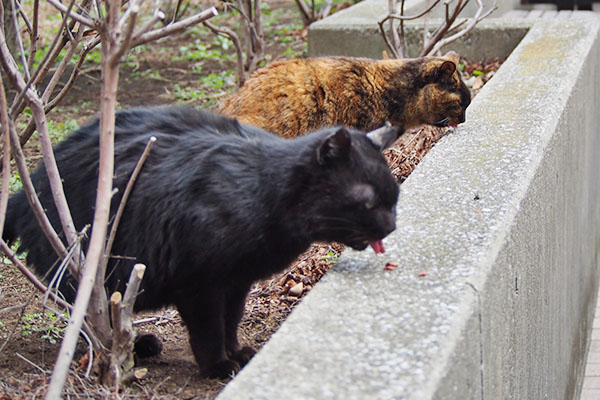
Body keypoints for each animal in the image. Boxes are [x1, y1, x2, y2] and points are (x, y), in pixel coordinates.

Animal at [4, 106, 400, 378]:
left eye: (394, 197)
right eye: (368, 202)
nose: (392, 225)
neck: (263, 192)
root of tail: (26, 193)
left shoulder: (237, 281)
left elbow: (231, 321)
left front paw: (236, 352)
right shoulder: (199, 284)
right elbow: (209, 329)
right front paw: (218, 366)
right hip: (90, 274)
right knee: (90, 326)